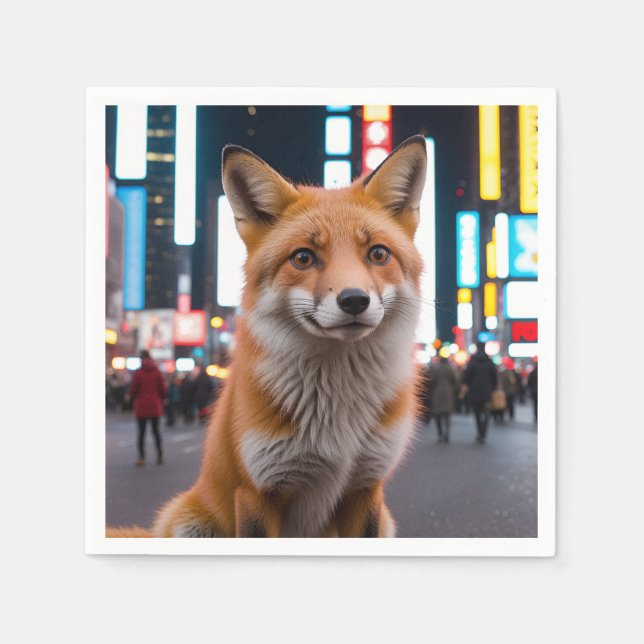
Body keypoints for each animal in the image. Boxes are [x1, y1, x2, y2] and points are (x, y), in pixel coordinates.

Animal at [107, 134, 428, 538]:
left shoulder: (366, 487)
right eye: (303, 258)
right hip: (185, 519)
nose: (354, 300)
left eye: (378, 254)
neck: (336, 409)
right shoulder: (256, 491)